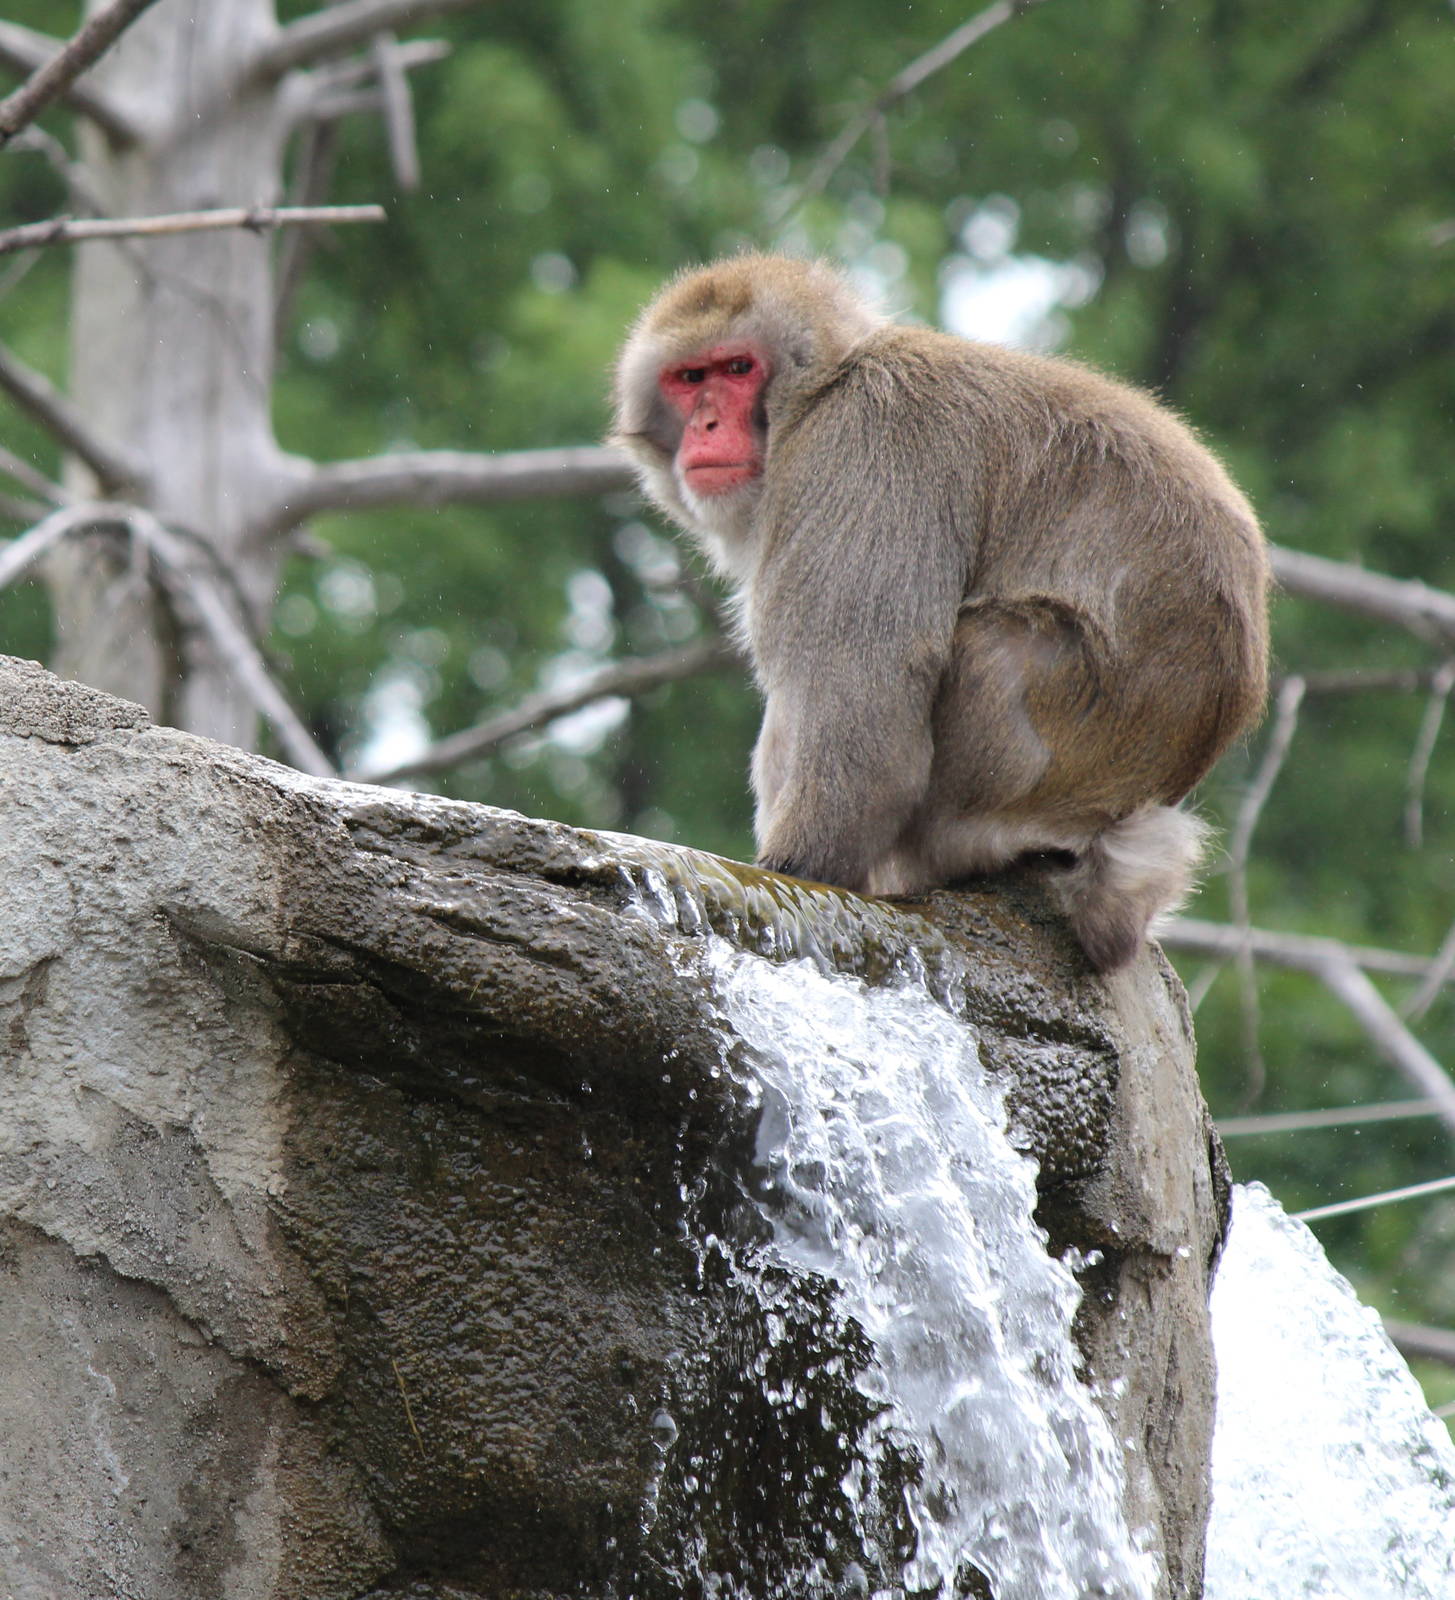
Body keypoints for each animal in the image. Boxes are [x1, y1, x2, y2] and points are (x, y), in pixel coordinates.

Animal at [611, 254, 1268, 972]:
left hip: (1037, 763)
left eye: (737, 369)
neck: (819, 391)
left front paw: (795, 870)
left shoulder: (858, 449)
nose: (704, 426)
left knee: (985, 649)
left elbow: (863, 703)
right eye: (688, 378)